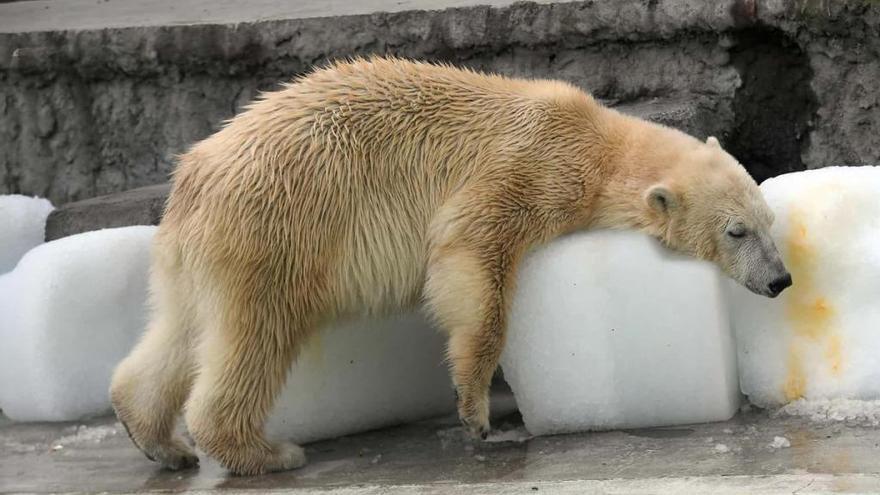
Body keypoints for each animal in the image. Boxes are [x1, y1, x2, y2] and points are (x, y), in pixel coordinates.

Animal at [110, 56, 791, 475]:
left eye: (769, 222)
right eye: (737, 231)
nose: (780, 280)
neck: (596, 143)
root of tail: (193, 177)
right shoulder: (528, 166)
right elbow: (469, 253)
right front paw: (476, 412)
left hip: (196, 253)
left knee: (181, 330)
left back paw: (157, 438)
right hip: (276, 230)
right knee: (257, 332)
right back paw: (268, 452)